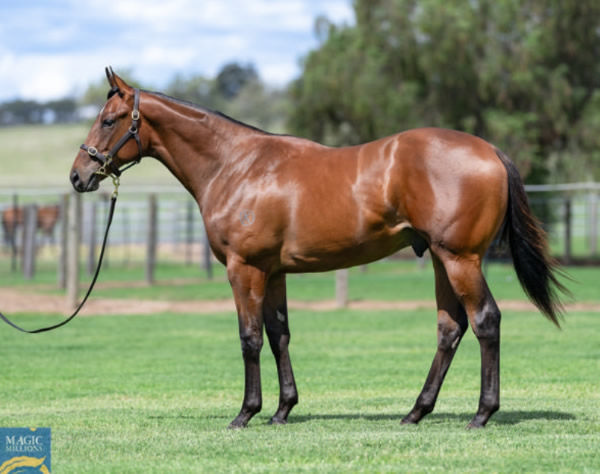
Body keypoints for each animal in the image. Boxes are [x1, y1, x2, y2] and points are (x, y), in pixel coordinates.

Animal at [70, 69, 568, 430]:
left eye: (109, 120)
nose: (79, 175)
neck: (236, 165)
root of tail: (491, 151)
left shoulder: (244, 269)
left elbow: (250, 338)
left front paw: (245, 413)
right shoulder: (273, 272)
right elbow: (279, 334)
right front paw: (282, 410)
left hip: (459, 258)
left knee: (485, 321)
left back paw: (482, 414)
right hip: (441, 262)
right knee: (450, 328)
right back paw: (415, 412)